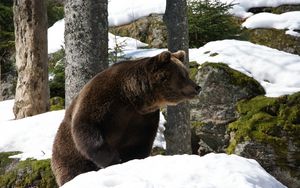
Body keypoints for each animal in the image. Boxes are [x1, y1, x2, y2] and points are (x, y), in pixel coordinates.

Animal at [51, 50, 202, 187]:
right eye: (183, 75)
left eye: (186, 73)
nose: (198, 87)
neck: (132, 98)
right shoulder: (102, 99)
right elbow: (87, 128)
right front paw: (114, 160)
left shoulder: (142, 118)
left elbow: (138, 143)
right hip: (67, 156)